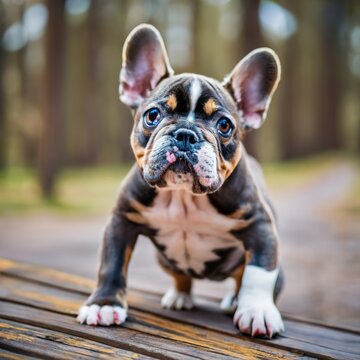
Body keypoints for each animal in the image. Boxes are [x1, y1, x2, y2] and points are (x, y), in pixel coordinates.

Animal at [77, 23, 286, 338]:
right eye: (152, 115)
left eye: (224, 126)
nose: (186, 134)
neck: (183, 195)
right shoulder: (121, 219)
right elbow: (111, 263)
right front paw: (103, 304)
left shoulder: (260, 227)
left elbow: (258, 274)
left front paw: (256, 311)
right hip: (164, 260)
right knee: (181, 275)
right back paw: (179, 295)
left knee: (244, 277)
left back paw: (234, 300)